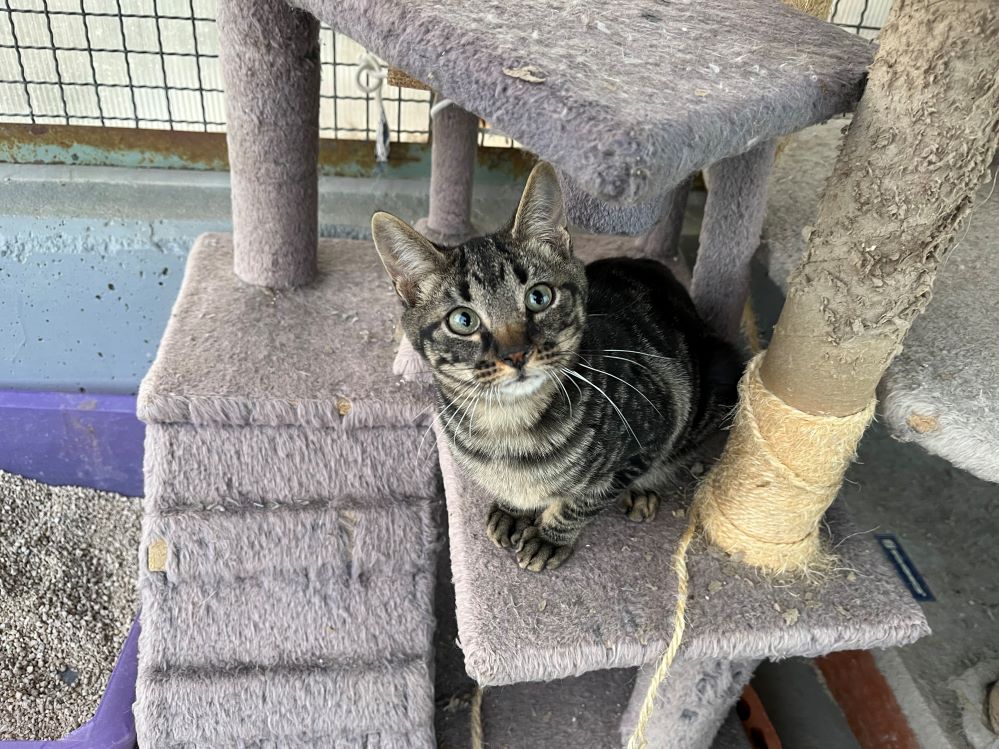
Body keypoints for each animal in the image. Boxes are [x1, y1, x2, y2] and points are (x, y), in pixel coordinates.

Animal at [371, 162, 742, 572]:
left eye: (539, 297)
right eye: (463, 320)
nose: (516, 354)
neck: (507, 428)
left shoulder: (659, 417)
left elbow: (585, 500)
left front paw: (550, 536)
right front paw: (514, 510)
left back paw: (642, 492)